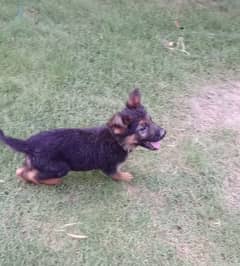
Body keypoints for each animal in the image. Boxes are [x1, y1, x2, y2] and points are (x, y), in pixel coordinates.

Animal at [0, 89, 166, 185]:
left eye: (151, 120)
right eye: (142, 128)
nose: (164, 133)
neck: (116, 140)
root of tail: (28, 144)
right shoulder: (109, 167)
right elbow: (116, 174)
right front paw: (125, 176)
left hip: (35, 162)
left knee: (21, 172)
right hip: (60, 167)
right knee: (33, 175)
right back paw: (53, 181)